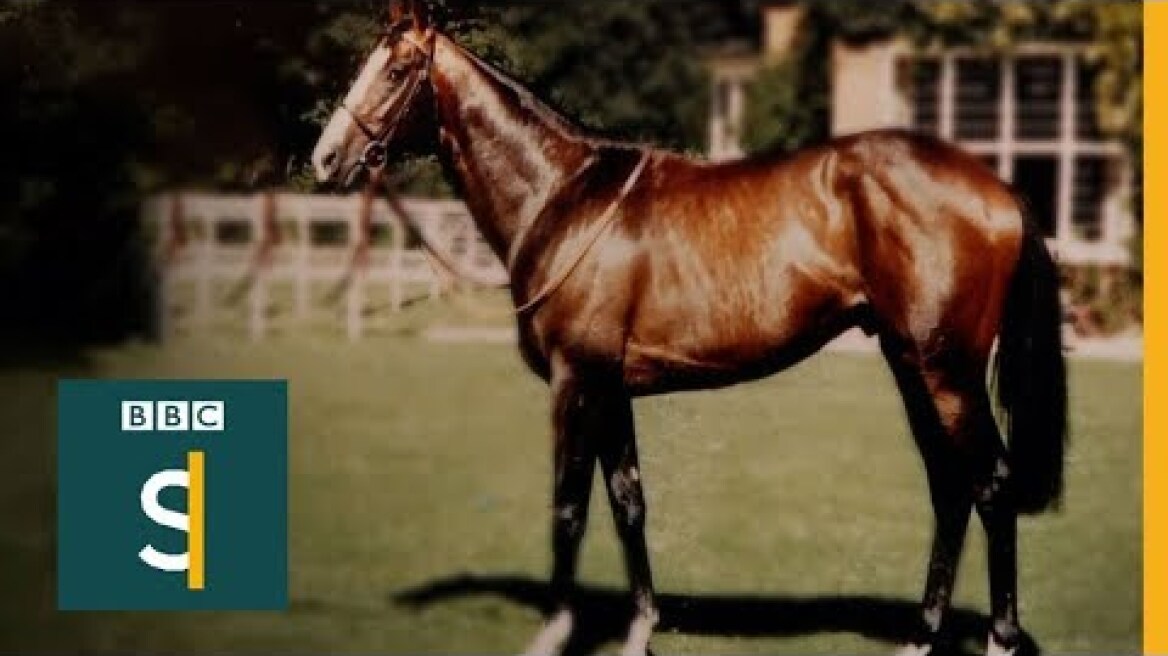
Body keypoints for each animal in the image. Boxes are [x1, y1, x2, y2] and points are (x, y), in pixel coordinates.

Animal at [311, 3, 1067, 655]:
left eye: (397, 71)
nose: (325, 159)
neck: (562, 198)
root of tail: (997, 189)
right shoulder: (610, 390)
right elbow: (628, 502)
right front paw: (641, 629)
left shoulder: (574, 383)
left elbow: (568, 507)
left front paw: (554, 632)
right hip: (912, 365)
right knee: (950, 486)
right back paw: (921, 634)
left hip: (948, 374)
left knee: (992, 484)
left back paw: (999, 638)